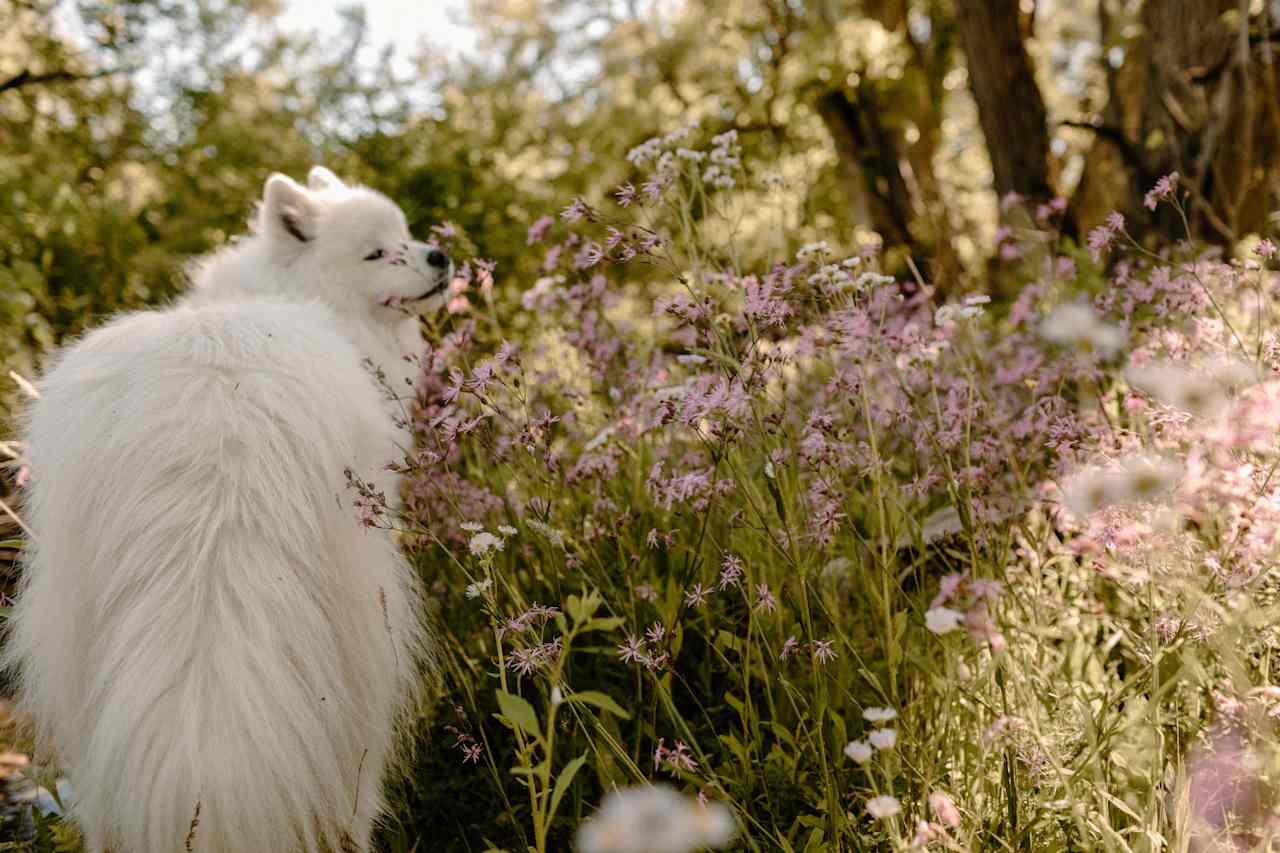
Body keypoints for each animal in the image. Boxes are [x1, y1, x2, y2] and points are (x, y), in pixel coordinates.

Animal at [6, 167, 445, 850]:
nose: (440, 256)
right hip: (366, 635)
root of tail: (216, 411)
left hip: (76, 640)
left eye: (407, 233)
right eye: (377, 253)